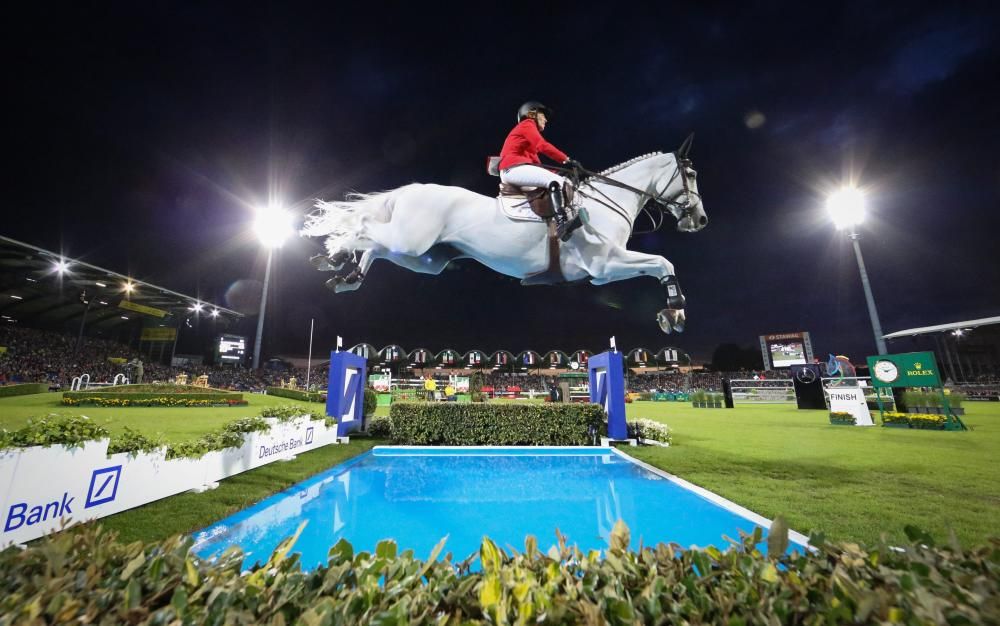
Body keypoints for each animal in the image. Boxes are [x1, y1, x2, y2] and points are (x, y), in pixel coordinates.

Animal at [300, 140, 708, 332]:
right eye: (690, 174)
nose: (700, 220)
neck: (606, 201)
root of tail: (412, 190)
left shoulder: (606, 267)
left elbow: (660, 264)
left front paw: (673, 312)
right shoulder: (605, 266)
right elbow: (663, 262)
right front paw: (675, 311)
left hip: (423, 257)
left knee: (375, 245)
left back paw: (345, 273)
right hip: (414, 241)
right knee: (364, 227)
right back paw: (335, 254)